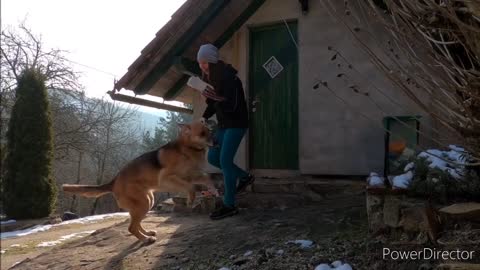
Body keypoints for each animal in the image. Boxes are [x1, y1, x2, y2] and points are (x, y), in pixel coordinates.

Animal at [62, 121, 218, 244]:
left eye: (209, 131)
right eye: (202, 133)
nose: (217, 142)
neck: (187, 148)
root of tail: (114, 182)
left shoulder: (192, 175)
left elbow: (206, 178)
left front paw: (215, 191)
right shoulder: (167, 178)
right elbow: (190, 186)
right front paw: (191, 199)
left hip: (147, 201)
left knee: (136, 224)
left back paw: (147, 234)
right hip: (143, 203)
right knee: (131, 227)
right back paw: (145, 239)